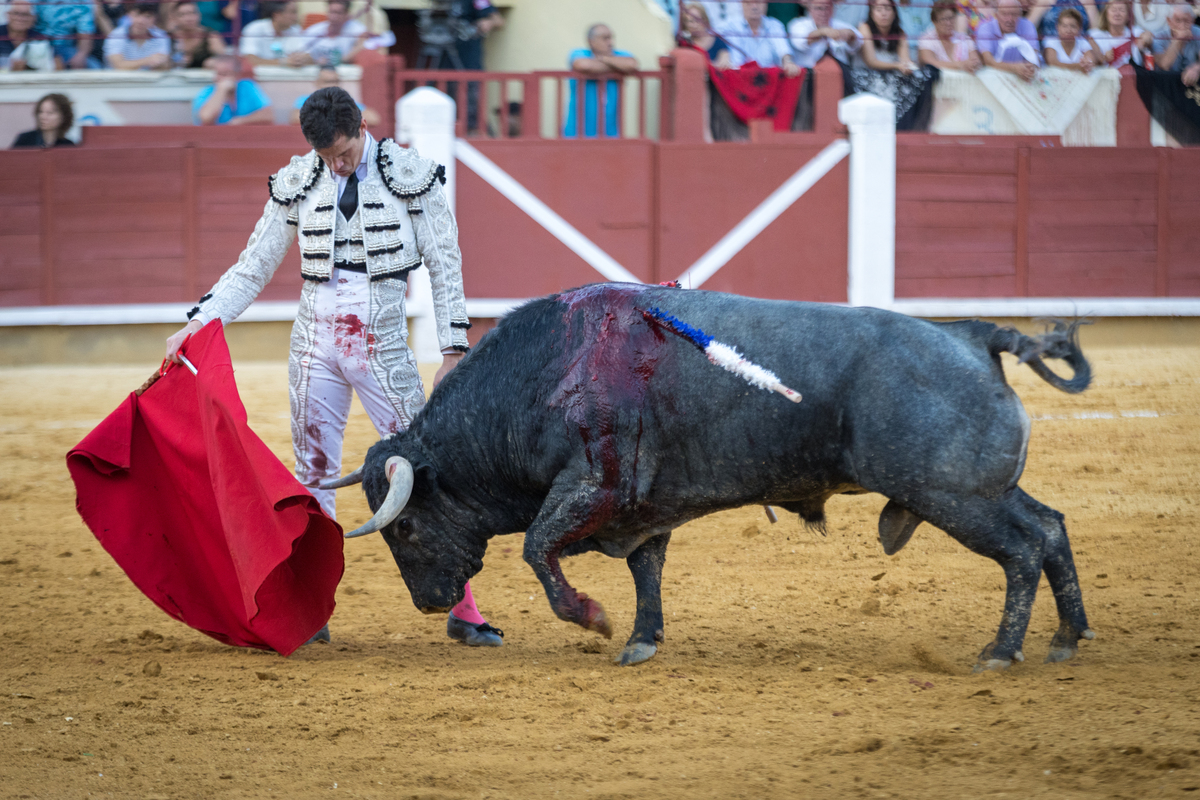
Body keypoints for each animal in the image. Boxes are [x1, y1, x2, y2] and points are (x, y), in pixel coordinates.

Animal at [324, 284, 1094, 671]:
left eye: (407, 526)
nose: (429, 603)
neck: (546, 376)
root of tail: (972, 333)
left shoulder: (591, 487)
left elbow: (539, 550)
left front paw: (595, 619)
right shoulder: (642, 505)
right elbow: (647, 569)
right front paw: (641, 639)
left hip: (955, 496)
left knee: (1023, 549)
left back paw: (1002, 651)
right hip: (982, 491)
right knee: (1051, 527)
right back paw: (1067, 639)